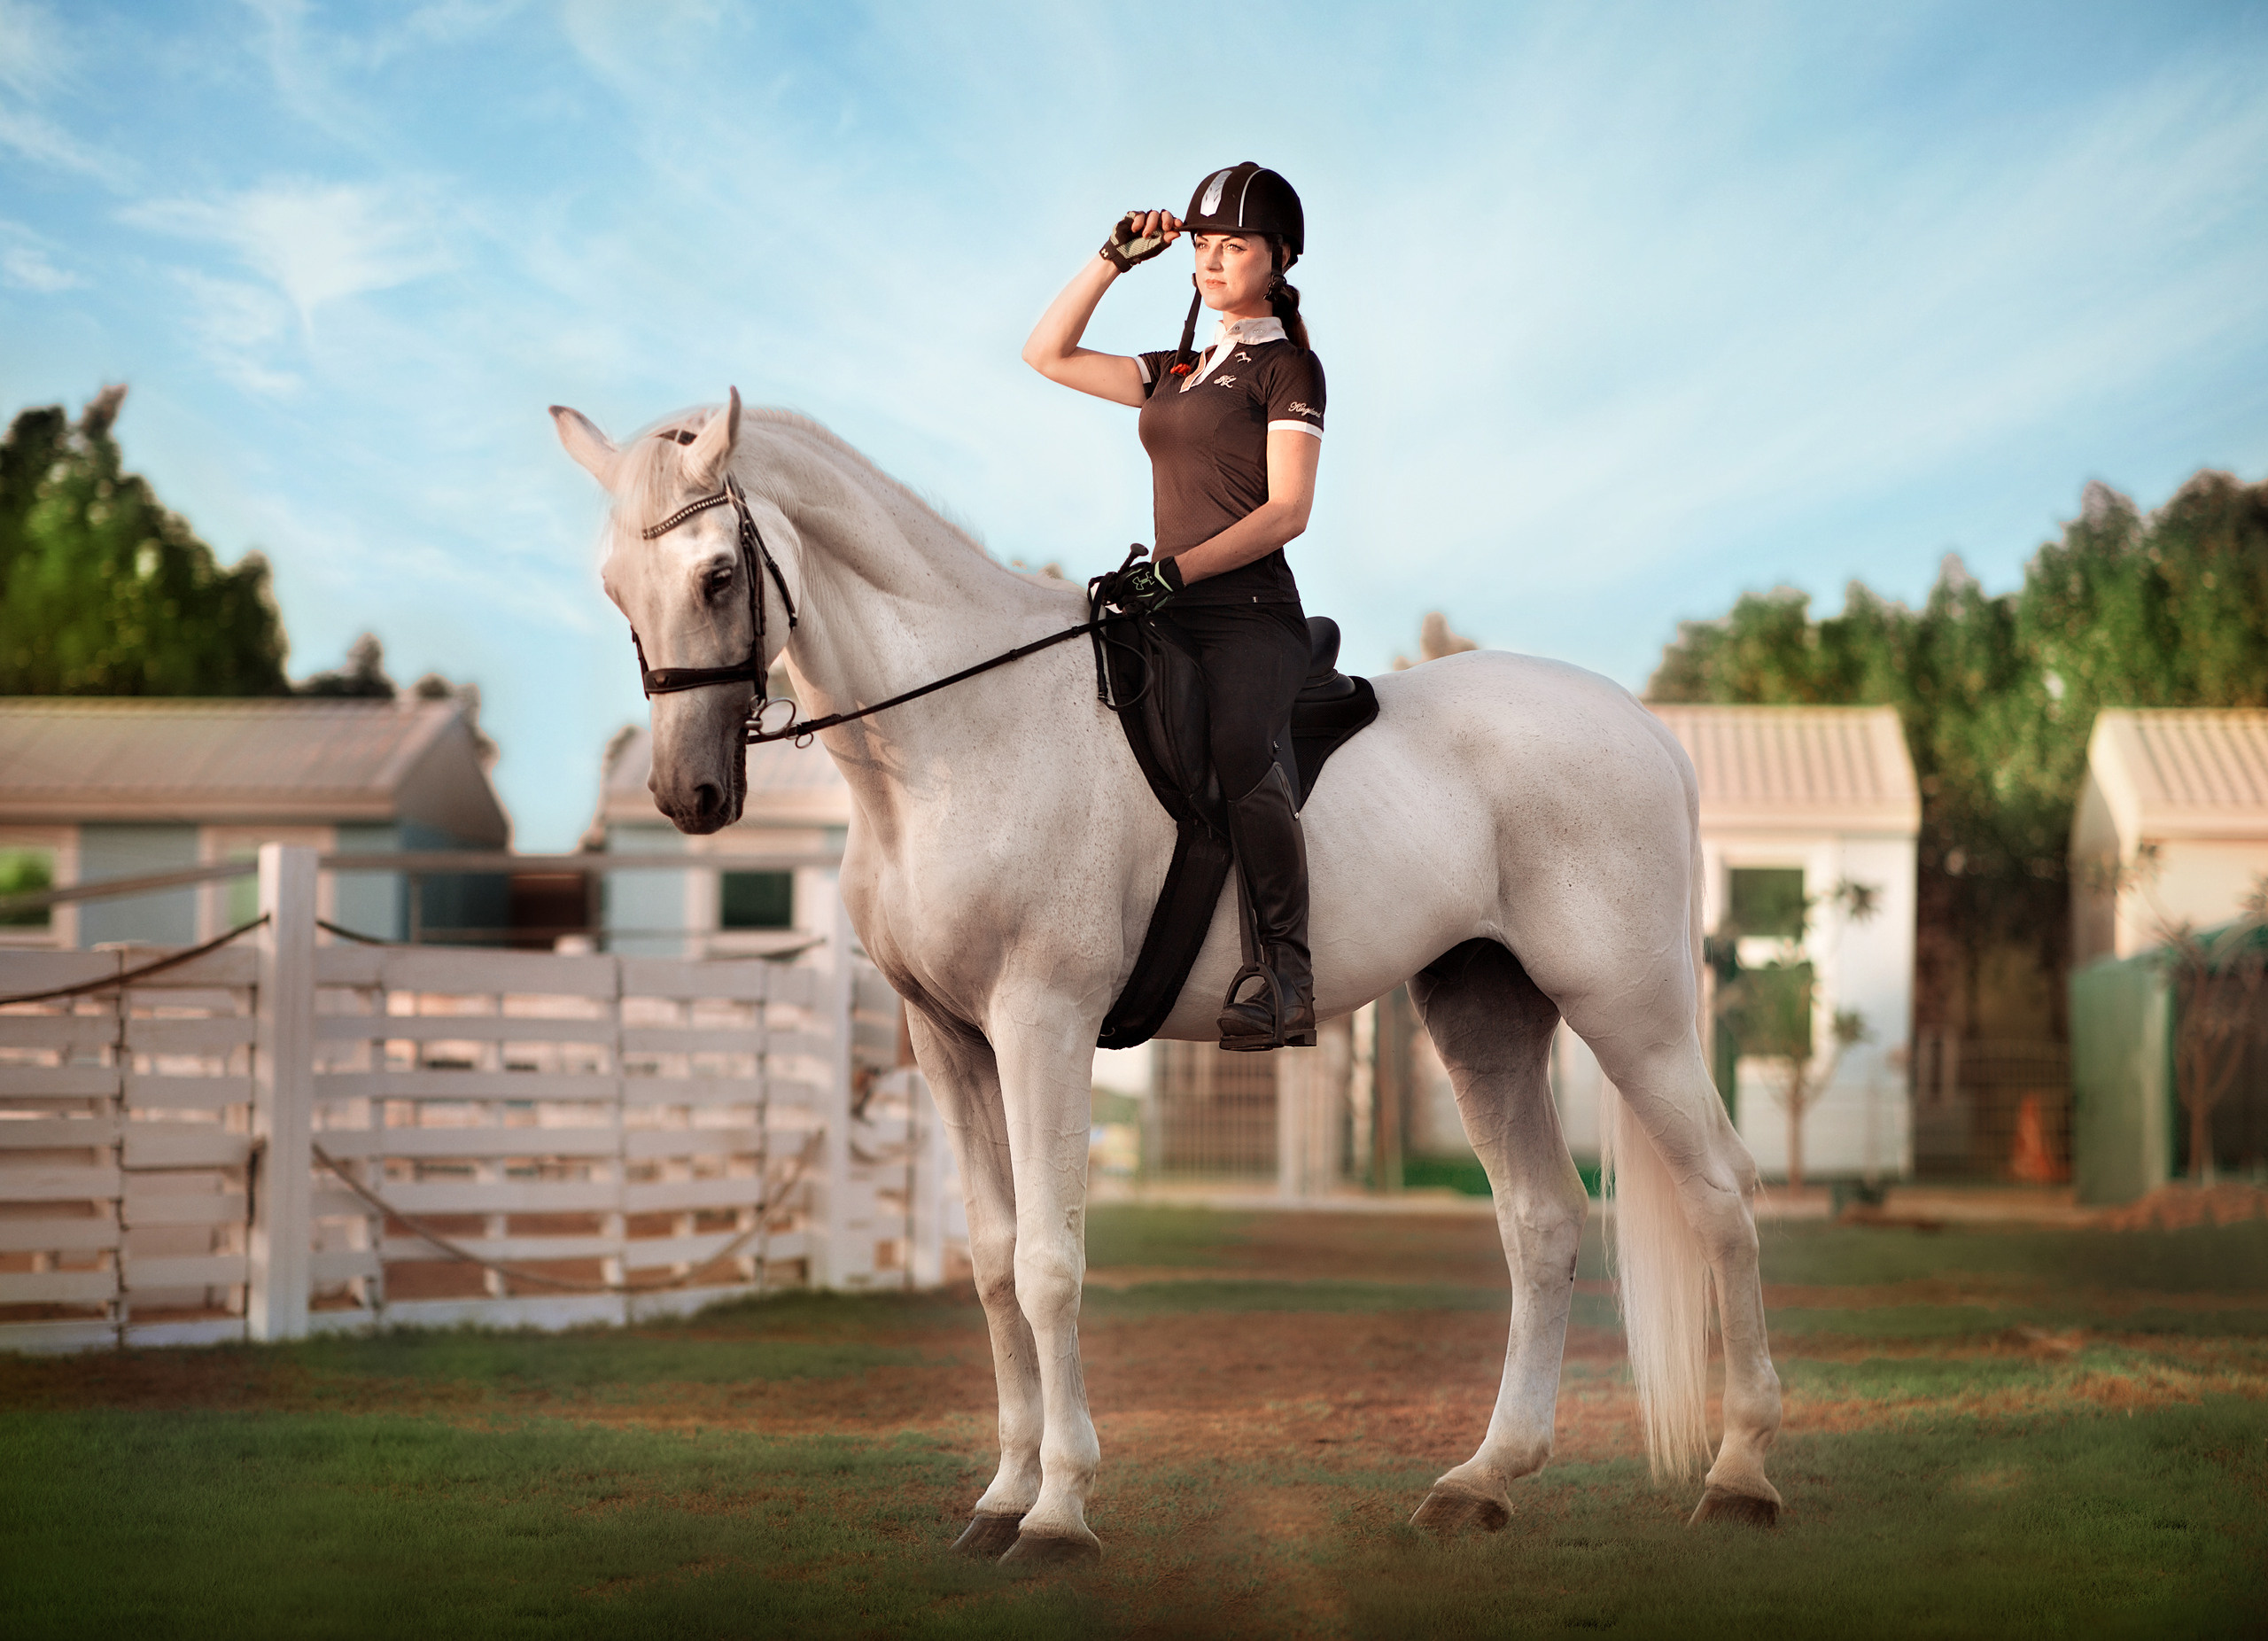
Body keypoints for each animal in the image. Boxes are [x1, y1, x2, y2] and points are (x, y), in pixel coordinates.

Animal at [550, 389, 1785, 1563]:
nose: (687, 795)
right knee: (1540, 1220)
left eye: (717, 574)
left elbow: (1048, 1262)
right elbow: (992, 1262)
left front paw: (1057, 1513)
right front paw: (1001, 1497)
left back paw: (1740, 1476)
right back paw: (1482, 1481)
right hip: (1483, 1016)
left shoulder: (1041, 1023)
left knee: (1722, 1198)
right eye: (615, 587)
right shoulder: (948, 1040)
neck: (962, 731)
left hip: (1630, 1016)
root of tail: (1643, 727)